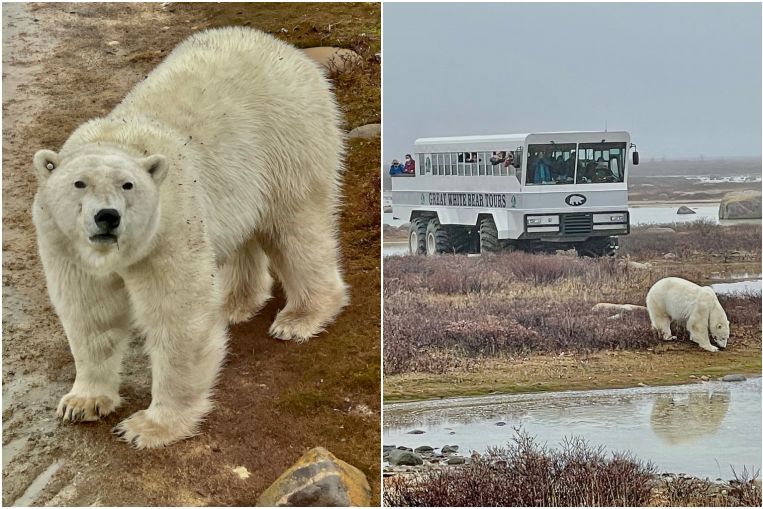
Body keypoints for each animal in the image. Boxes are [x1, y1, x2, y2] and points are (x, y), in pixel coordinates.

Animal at [32, 28, 350, 448]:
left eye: (128, 184)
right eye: (78, 183)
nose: (107, 217)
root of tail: (289, 51)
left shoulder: (168, 227)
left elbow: (178, 316)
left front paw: (147, 426)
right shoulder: (65, 244)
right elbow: (90, 312)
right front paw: (81, 402)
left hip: (288, 143)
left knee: (296, 230)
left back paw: (299, 317)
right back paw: (234, 303)